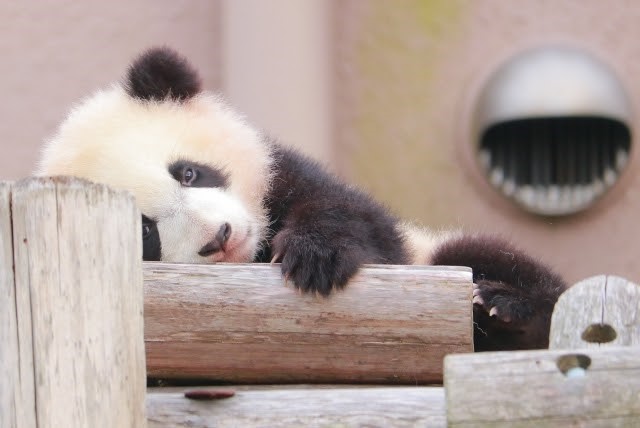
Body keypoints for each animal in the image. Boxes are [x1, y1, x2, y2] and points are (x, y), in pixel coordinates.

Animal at [36, 48, 564, 352]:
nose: (219, 238)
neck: (253, 253)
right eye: (146, 232)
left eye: (188, 172)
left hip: (440, 254)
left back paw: (503, 308)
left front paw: (316, 258)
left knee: (481, 258)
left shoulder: (286, 174)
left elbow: (358, 222)